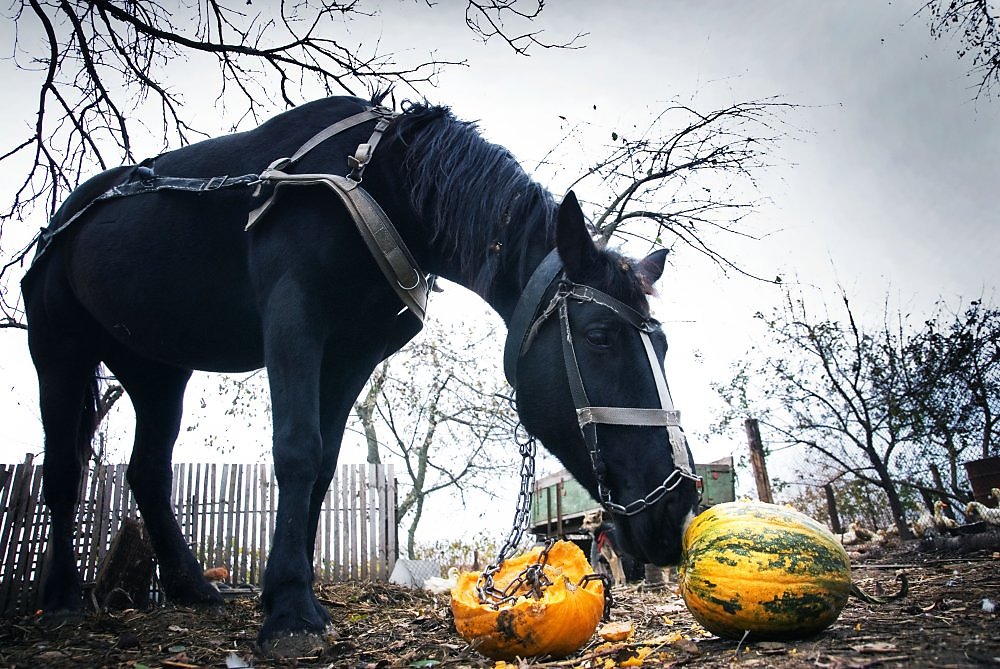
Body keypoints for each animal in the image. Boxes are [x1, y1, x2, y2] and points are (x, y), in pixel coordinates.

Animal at [19, 91, 700, 644]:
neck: (377, 182)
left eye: (664, 346)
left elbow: (322, 465)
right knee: (63, 469)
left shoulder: (351, 355)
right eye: (600, 337)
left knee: (147, 472)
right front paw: (291, 613)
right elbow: (296, 450)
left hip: (158, 369)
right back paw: (61, 599)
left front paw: (289, 589)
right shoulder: (293, 317)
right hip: (60, 347)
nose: (678, 506)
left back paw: (191, 587)